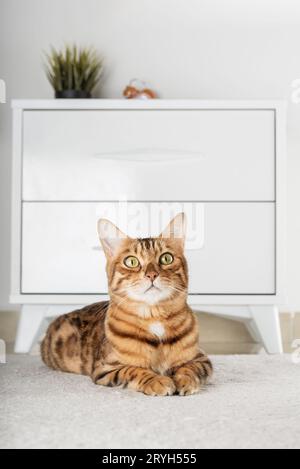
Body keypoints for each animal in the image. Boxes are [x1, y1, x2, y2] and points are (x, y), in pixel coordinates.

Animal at [41, 212, 212, 394]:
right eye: (131, 261)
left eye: (166, 258)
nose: (152, 275)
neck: (154, 317)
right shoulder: (105, 369)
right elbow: (134, 370)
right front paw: (158, 381)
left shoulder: (201, 358)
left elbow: (190, 368)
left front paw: (185, 380)